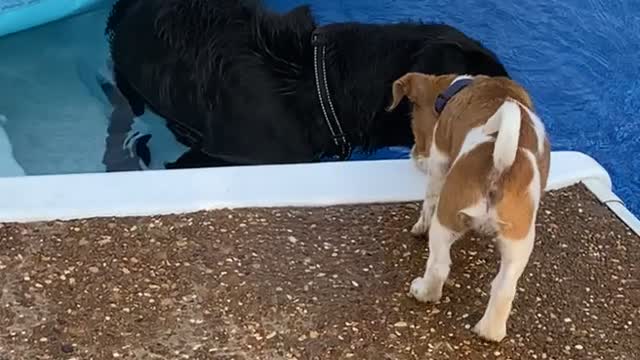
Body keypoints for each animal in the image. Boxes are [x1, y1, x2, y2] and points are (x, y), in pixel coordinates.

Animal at [388, 72, 552, 340]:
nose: (414, 151)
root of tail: (501, 165)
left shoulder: (439, 160)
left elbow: (428, 200)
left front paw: (418, 227)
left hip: (446, 218)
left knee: (438, 267)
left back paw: (422, 291)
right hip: (519, 241)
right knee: (504, 289)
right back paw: (490, 332)